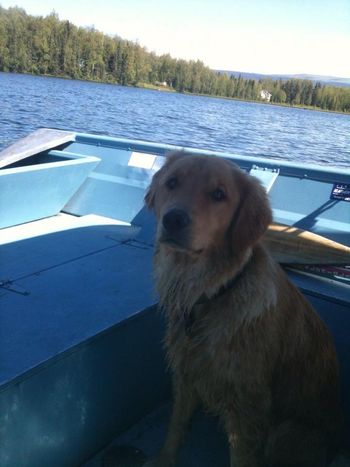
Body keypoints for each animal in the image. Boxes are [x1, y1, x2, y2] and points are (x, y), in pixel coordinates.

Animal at [144, 154, 344, 467]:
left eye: (219, 194)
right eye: (172, 182)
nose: (173, 219)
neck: (211, 293)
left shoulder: (247, 408)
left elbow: (241, 458)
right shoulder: (186, 373)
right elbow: (176, 426)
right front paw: (164, 460)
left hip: (285, 432)